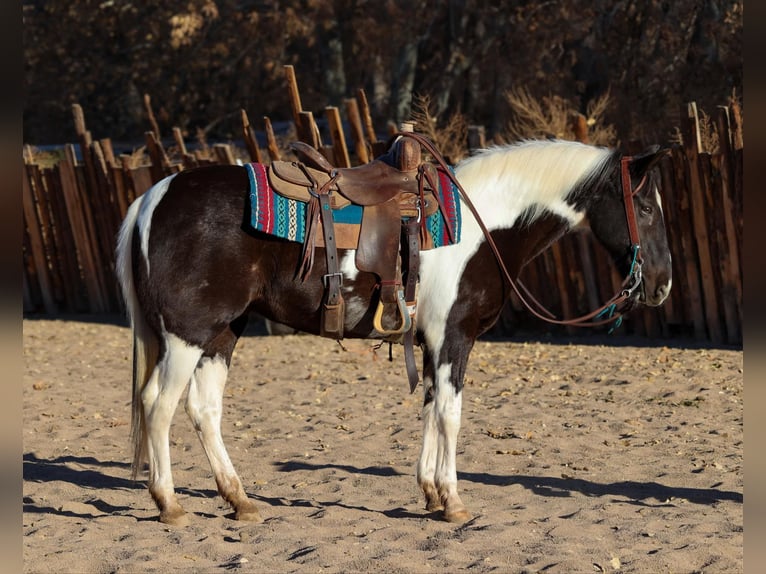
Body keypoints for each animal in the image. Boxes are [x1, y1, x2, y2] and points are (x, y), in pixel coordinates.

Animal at [115, 137, 672, 525]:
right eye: (645, 209)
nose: (661, 286)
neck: (480, 226)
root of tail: (151, 199)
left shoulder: (431, 344)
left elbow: (428, 410)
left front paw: (429, 493)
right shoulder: (454, 338)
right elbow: (450, 415)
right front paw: (453, 501)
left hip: (222, 333)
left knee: (202, 409)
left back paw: (240, 501)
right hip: (187, 335)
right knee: (158, 405)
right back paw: (170, 505)